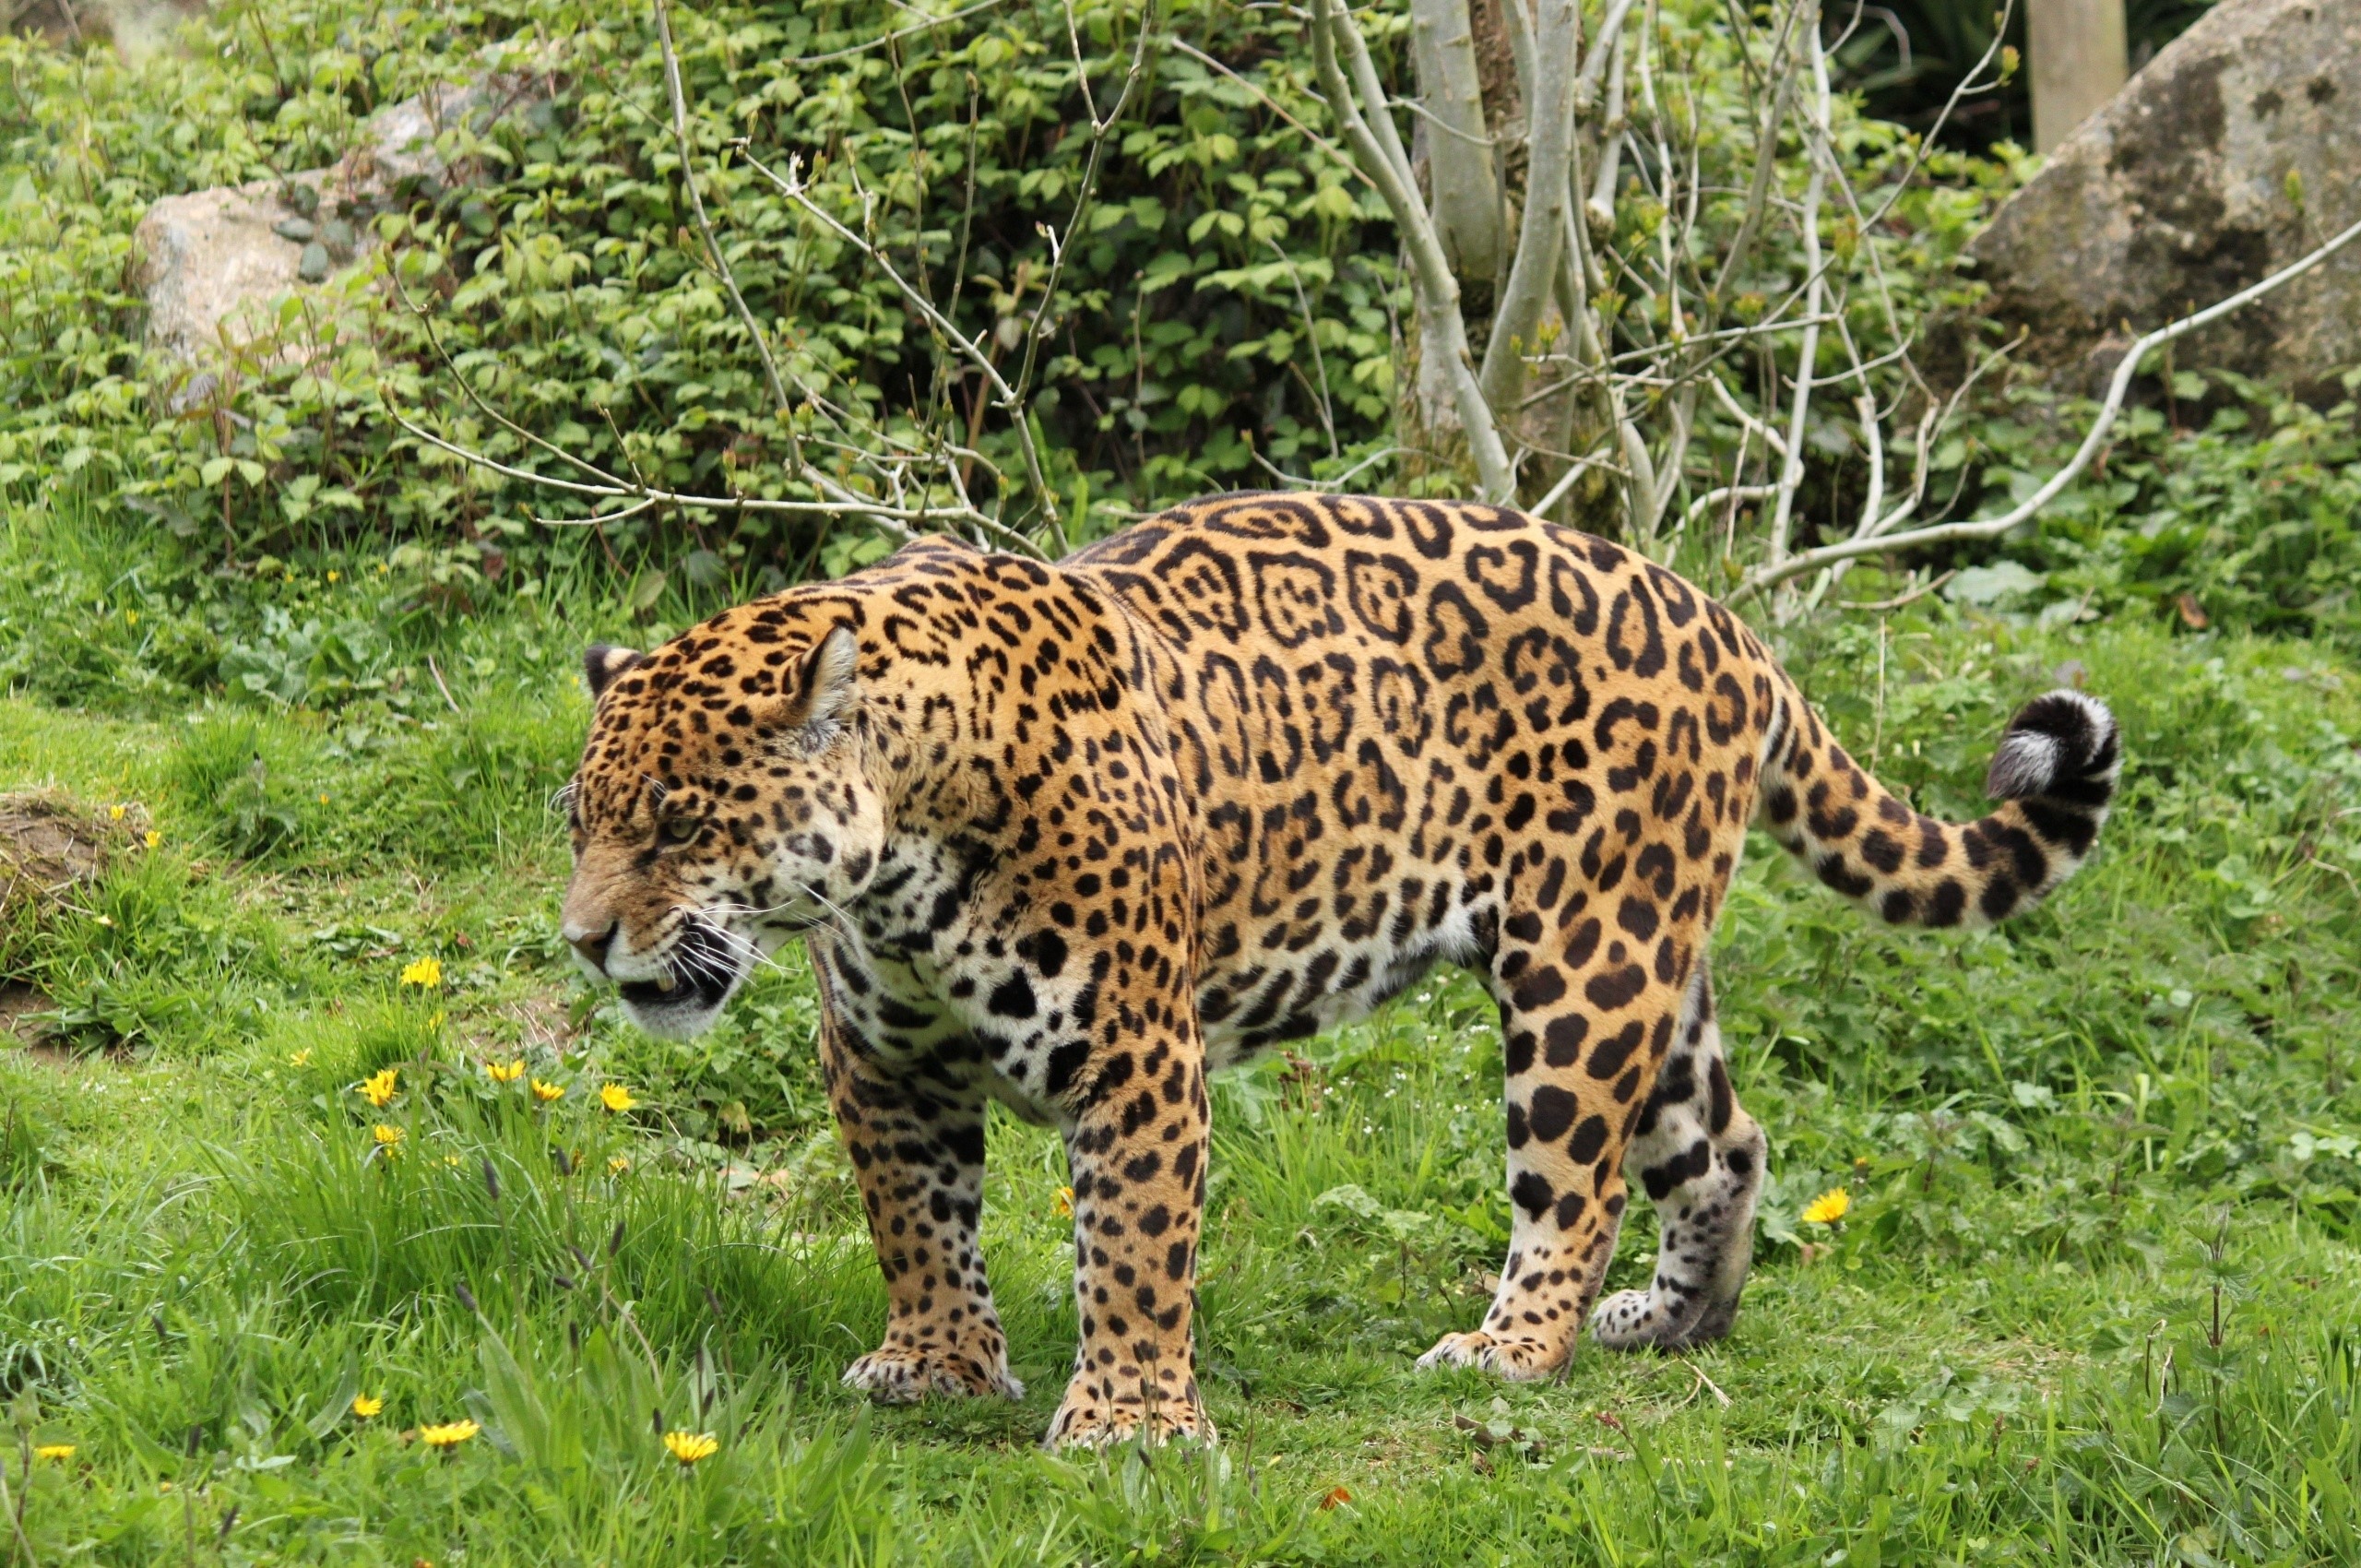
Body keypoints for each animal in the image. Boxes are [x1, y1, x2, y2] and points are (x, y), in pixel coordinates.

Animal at [558, 491, 2119, 1449]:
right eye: (581, 824)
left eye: (681, 825)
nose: (583, 940)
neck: (904, 850)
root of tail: (1725, 624)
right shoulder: (883, 1059)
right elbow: (917, 1223)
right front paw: (937, 1365)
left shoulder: (1137, 1056)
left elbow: (1134, 1249)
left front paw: (1131, 1422)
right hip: (1650, 966)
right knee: (1723, 1139)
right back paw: (1673, 1321)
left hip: (1581, 967)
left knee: (1579, 1181)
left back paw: (1516, 1347)